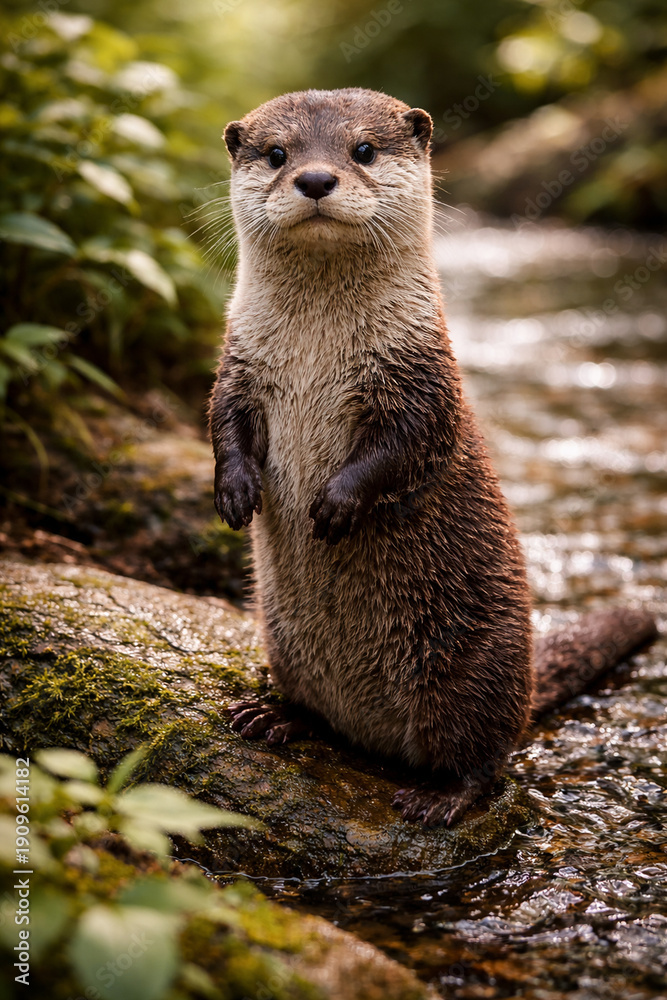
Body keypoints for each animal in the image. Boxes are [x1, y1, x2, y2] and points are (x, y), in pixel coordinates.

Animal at [208, 88, 657, 826]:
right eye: (276, 154)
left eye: (362, 149)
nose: (315, 178)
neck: (315, 354)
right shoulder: (238, 363)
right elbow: (223, 424)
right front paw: (235, 492)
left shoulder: (420, 377)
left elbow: (408, 444)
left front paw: (334, 505)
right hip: (283, 642)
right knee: (318, 708)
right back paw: (276, 717)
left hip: (473, 667)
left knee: (485, 754)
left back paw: (441, 797)